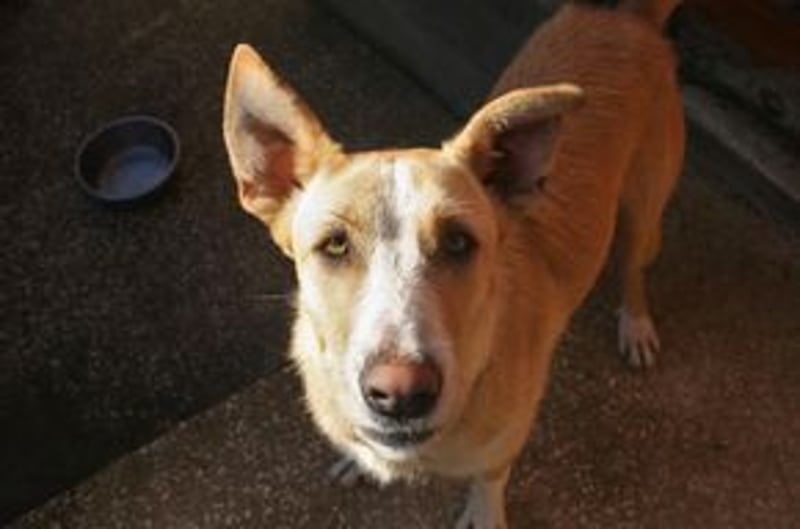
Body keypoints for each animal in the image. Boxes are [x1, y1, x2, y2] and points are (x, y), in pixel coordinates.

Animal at [222, 0, 684, 527]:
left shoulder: (504, 444)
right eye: (335, 245)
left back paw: (637, 326)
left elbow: (488, 482)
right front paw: (357, 457)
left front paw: (483, 513)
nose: (401, 394)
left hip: (644, 214)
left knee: (633, 269)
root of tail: (627, 16)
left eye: (459, 242)